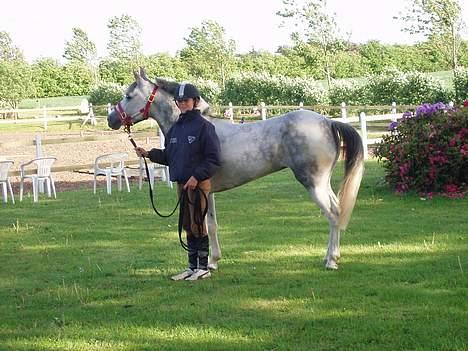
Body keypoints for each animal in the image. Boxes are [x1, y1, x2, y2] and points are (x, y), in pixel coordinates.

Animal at [108, 69, 364, 272]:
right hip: (323, 182)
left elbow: (202, 226)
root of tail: (328, 122)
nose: (112, 119)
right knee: (338, 209)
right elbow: (210, 225)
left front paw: (207, 264)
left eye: (129, 95)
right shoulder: (207, 192)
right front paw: (213, 261)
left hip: (313, 182)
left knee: (333, 213)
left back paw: (331, 260)